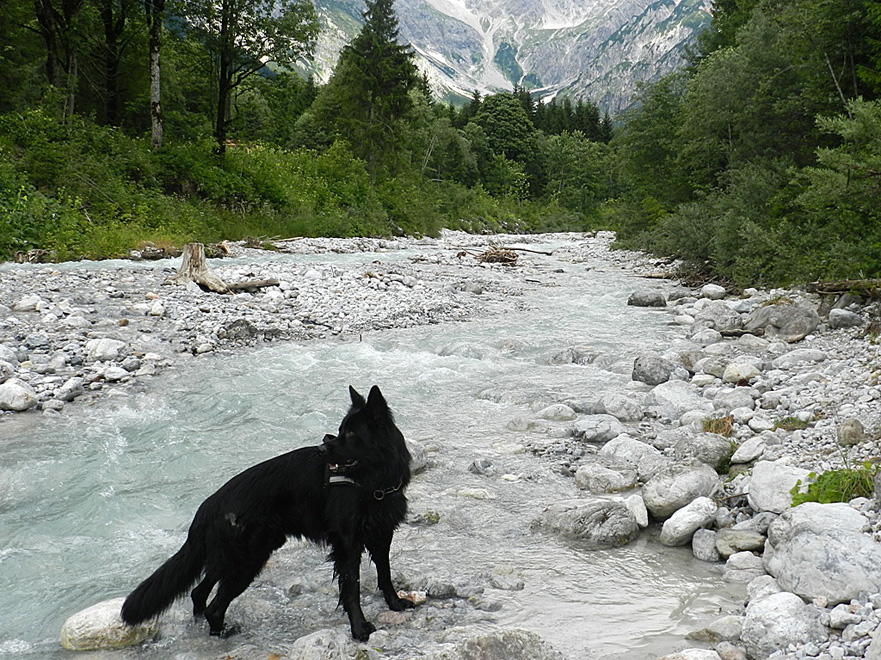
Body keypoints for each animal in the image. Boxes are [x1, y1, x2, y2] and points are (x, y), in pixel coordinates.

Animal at [118, 386, 414, 640]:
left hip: (231, 561)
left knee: (198, 592)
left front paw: (395, 603)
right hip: (245, 562)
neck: (374, 485)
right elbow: (352, 588)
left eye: (351, 434)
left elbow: (385, 574)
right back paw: (222, 632)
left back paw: (207, 626)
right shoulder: (348, 546)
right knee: (214, 604)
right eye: (340, 431)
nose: (321, 449)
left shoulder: (382, 535)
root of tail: (207, 507)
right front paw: (359, 628)